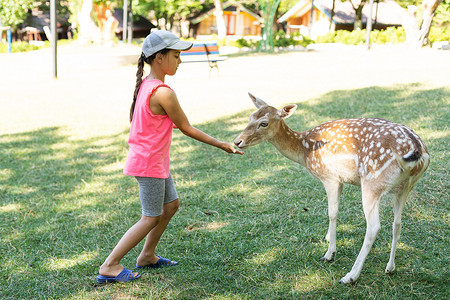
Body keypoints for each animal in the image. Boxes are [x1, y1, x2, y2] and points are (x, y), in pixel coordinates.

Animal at [234, 93, 430, 284]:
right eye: (250, 117)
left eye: (264, 123)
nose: (237, 141)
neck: (304, 151)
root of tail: (418, 152)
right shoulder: (341, 180)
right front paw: (328, 237)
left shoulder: (329, 177)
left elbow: (332, 213)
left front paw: (329, 253)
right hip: (405, 187)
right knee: (397, 223)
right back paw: (390, 268)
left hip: (372, 183)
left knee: (374, 227)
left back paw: (350, 276)